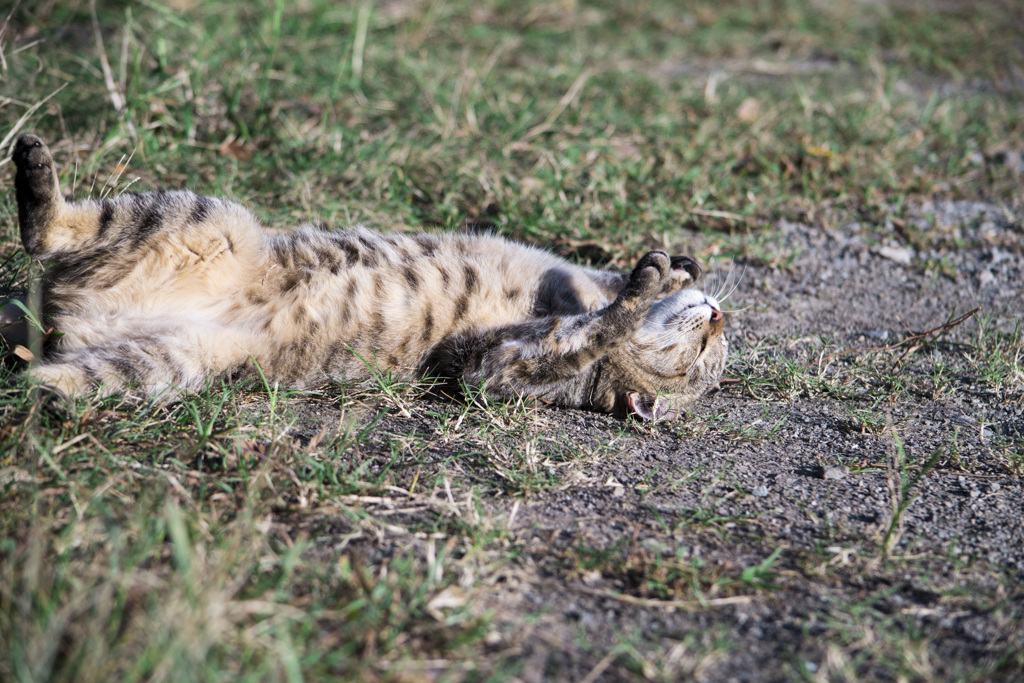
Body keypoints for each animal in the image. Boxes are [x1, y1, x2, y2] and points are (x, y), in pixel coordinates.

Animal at [8, 133, 729, 419]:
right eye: (710, 346)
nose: (718, 317)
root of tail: (69, 317)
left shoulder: (495, 365)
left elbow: (589, 329)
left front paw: (636, 296)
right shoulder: (568, 283)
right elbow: (601, 291)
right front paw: (670, 271)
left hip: (170, 357)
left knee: (46, 349)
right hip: (206, 220)